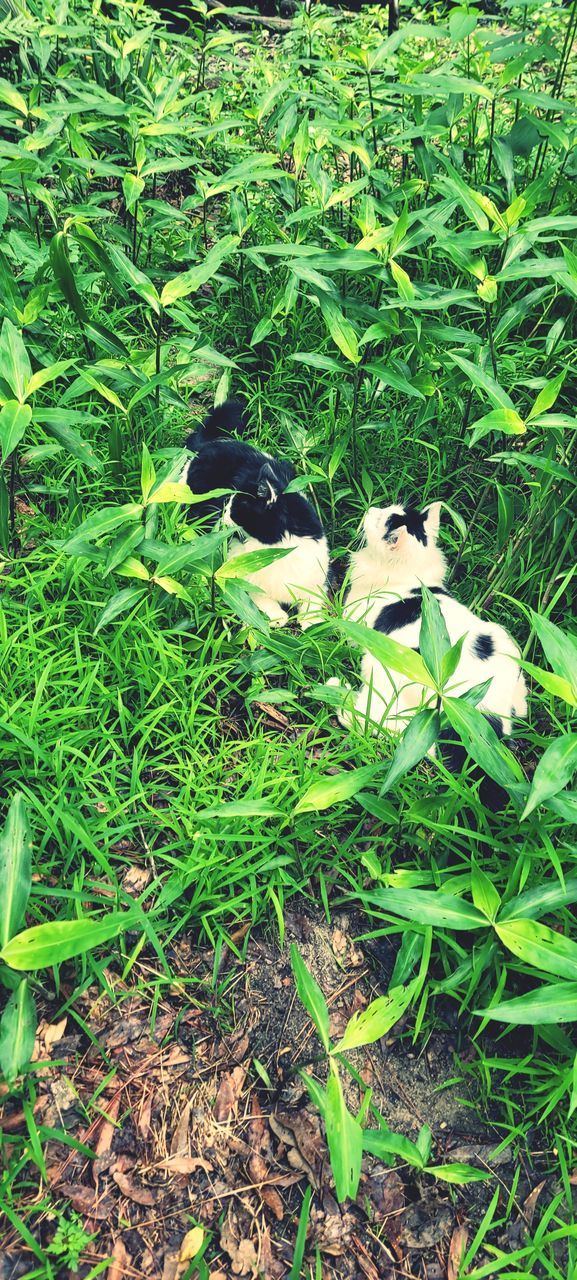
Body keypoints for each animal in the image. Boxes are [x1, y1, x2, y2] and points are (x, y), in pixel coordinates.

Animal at [185, 394, 330, 624]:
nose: (222, 515)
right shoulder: (242, 576)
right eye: (227, 502)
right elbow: (261, 601)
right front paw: (278, 618)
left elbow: (312, 604)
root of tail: (211, 442)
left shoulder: (315, 576)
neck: (277, 549)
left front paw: (312, 622)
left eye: (235, 507)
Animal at [330, 501, 529, 742]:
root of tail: (483, 713)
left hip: (384, 666)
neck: (412, 573)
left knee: (380, 724)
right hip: (504, 640)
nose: (371, 508)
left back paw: (336, 689)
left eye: (378, 520)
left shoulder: (350, 623)